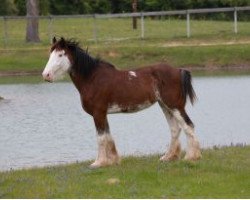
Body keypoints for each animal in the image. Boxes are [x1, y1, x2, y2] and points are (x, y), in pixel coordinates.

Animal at [41, 37, 201, 167]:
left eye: (60, 54)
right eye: (50, 54)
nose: (46, 75)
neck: (93, 79)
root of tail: (178, 70)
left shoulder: (98, 113)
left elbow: (101, 137)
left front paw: (98, 163)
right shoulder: (102, 114)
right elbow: (108, 136)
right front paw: (113, 160)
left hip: (175, 106)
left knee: (188, 126)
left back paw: (191, 157)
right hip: (165, 105)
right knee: (175, 129)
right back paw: (168, 157)